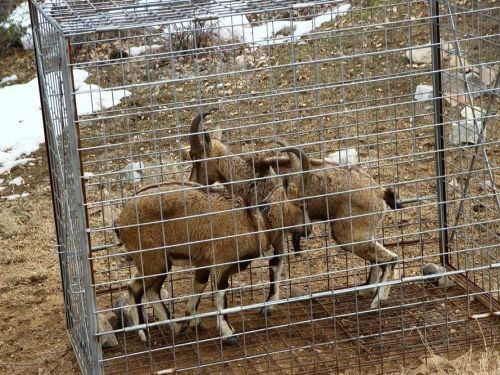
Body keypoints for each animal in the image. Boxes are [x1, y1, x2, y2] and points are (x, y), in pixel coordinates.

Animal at [115, 146, 310, 344]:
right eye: (302, 204)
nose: (308, 230)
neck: (256, 221)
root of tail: (120, 220)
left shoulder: (204, 263)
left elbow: (200, 285)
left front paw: (194, 319)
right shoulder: (221, 263)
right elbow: (220, 295)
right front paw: (228, 333)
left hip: (158, 262)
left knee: (151, 290)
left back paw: (176, 326)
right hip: (152, 259)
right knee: (135, 288)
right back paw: (145, 334)